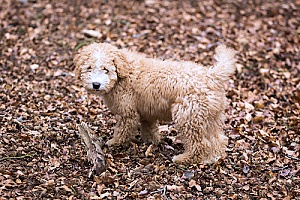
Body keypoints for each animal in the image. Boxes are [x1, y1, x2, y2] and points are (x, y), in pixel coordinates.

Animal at [73, 42, 237, 164]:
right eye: (89, 68)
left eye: (106, 69)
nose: (96, 84)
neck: (124, 72)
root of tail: (212, 75)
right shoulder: (146, 111)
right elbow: (149, 127)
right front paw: (152, 141)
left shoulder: (127, 113)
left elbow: (122, 130)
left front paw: (115, 142)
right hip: (209, 117)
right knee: (218, 139)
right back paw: (213, 158)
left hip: (188, 116)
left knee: (199, 143)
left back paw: (184, 159)